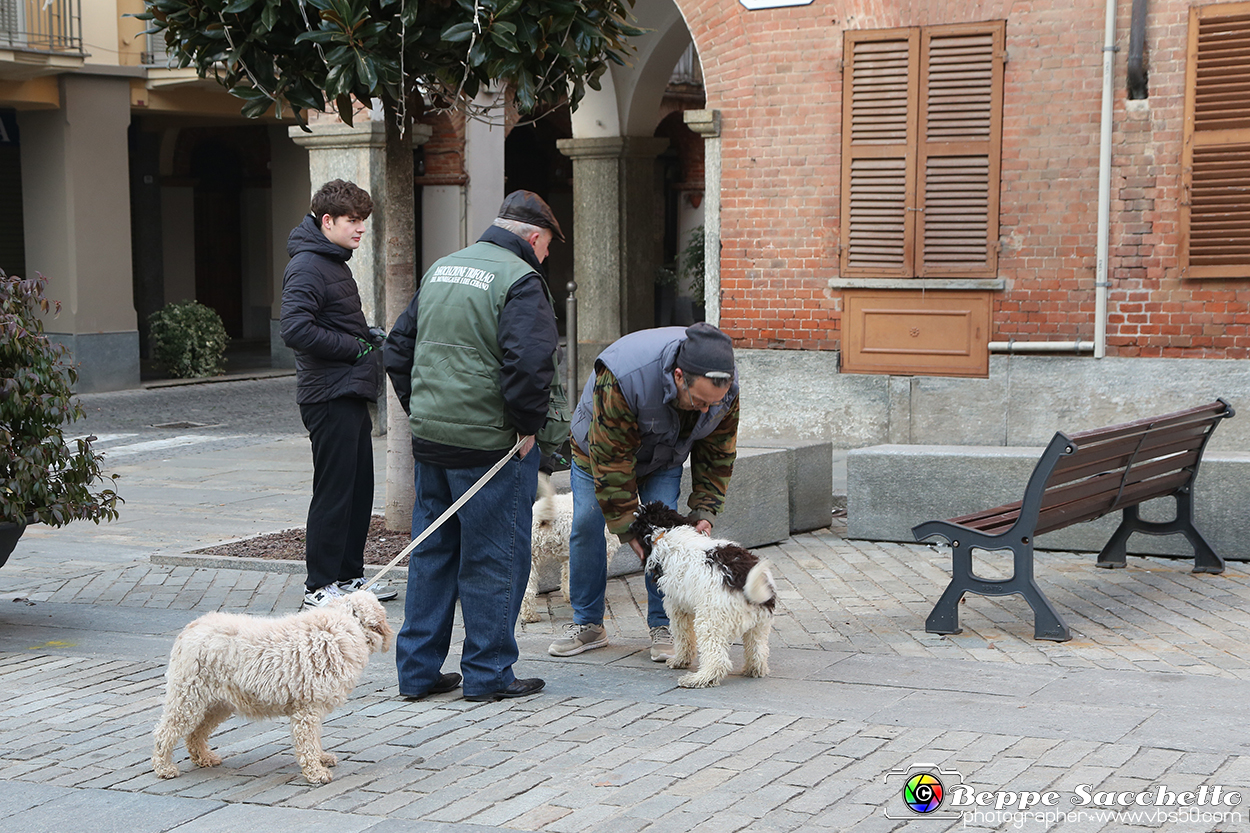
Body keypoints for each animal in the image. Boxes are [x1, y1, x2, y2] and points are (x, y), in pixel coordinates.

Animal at [153, 587, 392, 780]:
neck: (343, 625)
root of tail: (190, 628)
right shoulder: (307, 710)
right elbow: (308, 743)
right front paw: (316, 772)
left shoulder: (313, 709)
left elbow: (316, 739)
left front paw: (321, 758)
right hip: (187, 697)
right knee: (164, 733)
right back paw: (164, 767)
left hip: (216, 703)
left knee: (195, 734)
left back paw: (203, 757)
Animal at [630, 500, 775, 685]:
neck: (665, 532)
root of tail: (743, 582)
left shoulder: (677, 607)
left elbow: (683, 637)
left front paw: (680, 661)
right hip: (760, 625)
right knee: (758, 650)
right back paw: (753, 669)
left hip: (711, 621)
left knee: (717, 659)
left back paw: (700, 678)